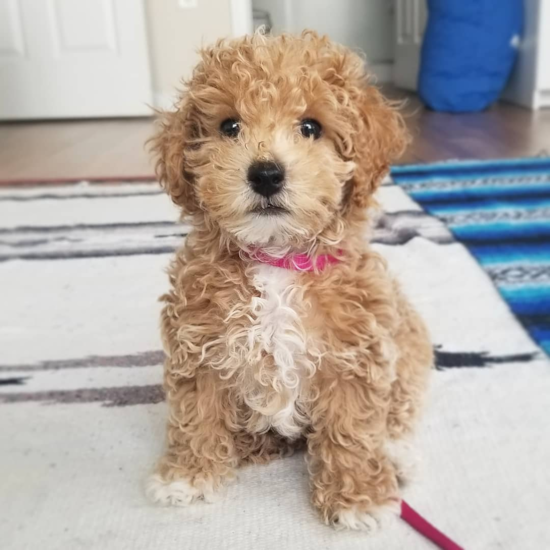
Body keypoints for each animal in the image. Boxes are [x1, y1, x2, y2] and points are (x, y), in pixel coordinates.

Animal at [147, 31, 436, 536]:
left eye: (310, 127)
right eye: (229, 126)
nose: (265, 173)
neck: (277, 258)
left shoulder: (354, 355)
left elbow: (354, 429)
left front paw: (357, 499)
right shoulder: (199, 347)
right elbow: (196, 413)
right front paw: (188, 475)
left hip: (408, 341)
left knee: (400, 408)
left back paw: (398, 456)